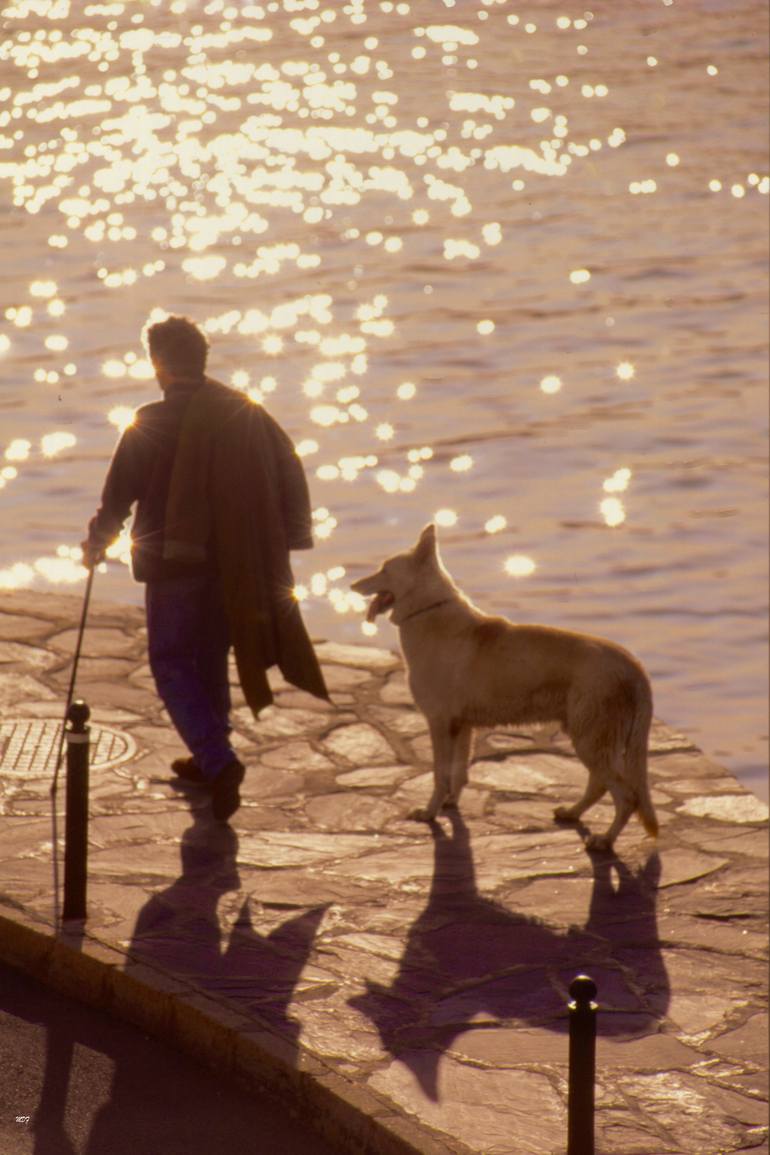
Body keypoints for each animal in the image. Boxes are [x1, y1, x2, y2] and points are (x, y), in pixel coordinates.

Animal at [348, 524, 655, 850]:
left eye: (384, 569)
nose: (352, 584)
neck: (428, 609)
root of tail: (634, 666)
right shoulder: (461, 726)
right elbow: (457, 774)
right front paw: (450, 805)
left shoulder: (440, 724)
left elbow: (440, 775)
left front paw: (430, 813)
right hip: (590, 738)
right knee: (600, 785)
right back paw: (573, 813)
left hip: (590, 740)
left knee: (626, 797)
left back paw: (605, 840)